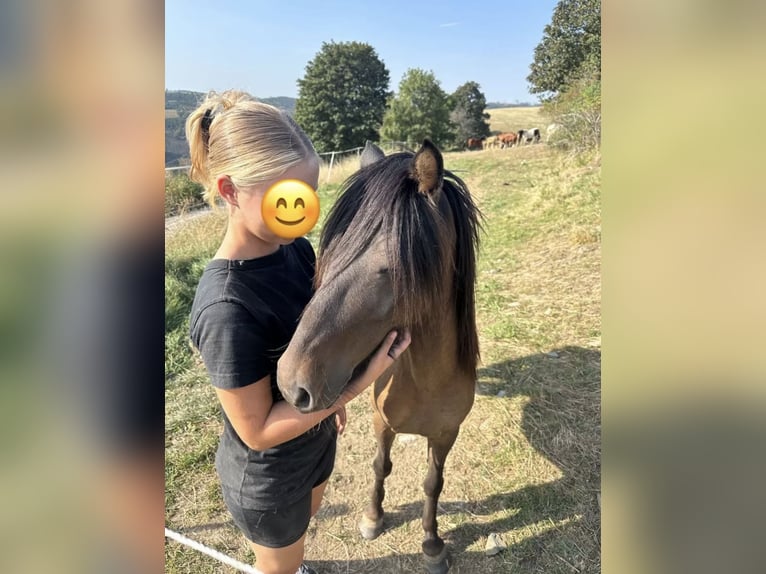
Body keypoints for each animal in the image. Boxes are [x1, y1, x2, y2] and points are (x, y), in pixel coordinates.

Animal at [278, 141, 480, 574]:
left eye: (390, 268)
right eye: (330, 254)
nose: (290, 383)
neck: (427, 381)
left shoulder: (446, 434)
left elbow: (433, 483)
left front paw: (432, 543)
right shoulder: (381, 423)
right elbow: (380, 466)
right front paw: (373, 518)